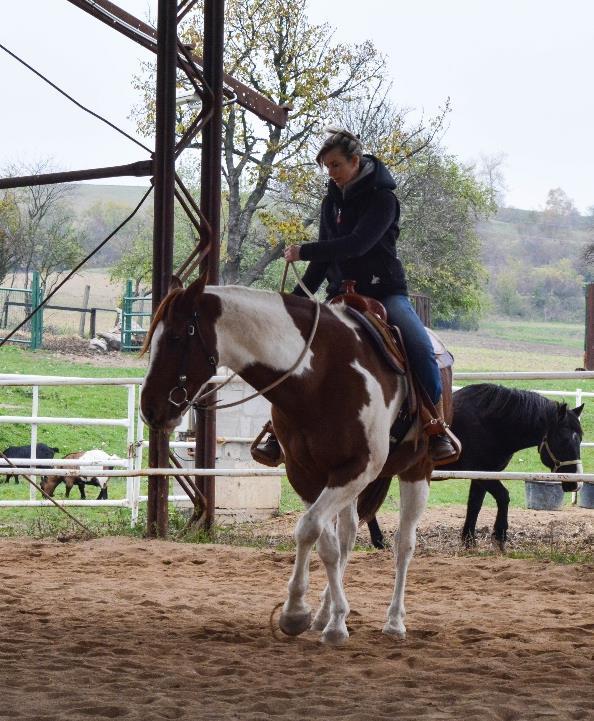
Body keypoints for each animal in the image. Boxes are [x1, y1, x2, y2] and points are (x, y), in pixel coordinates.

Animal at [140, 278, 454, 648]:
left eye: (176, 336)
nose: (149, 408)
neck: (316, 377)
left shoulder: (358, 468)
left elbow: (310, 528)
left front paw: (303, 614)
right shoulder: (306, 474)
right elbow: (323, 541)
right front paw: (317, 617)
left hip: (416, 470)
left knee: (404, 544)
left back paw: (394, 621)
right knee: (347, 535)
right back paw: (327, 614)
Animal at [366, 386, 584, 548]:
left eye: (580, 438)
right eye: (564, 439)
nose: (576, 485)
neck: (490, 423)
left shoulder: (482, 475)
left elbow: (475, 504)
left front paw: (469, 539)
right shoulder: (483, 474)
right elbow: (503, 496)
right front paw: (499, 535)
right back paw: (379, 540)